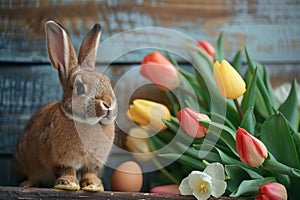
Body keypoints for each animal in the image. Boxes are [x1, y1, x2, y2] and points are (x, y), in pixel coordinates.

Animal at [13, 20, 117, 192]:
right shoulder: (60, 159)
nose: (108, 104)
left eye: (107, 81)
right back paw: (28, 184)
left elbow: (89, 172)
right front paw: (68, 184)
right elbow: (66, 170)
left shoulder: (92, 162)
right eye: (80, 88)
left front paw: (94, 186)